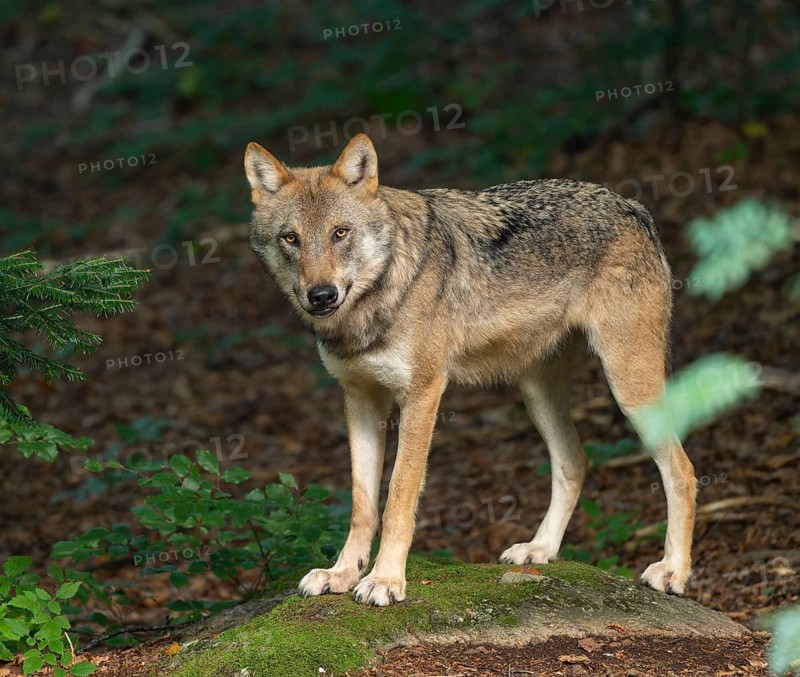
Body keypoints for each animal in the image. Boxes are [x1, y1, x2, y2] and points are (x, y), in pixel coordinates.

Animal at [244, 133, 696, 607]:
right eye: (291, 238)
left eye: (340, 233)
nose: (321, 295)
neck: (375, 301)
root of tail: (632, 205)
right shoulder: (360, 399)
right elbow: (362, 505)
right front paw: (342, 573)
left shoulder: (423, 394)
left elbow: (398, 499)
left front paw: (385, 580)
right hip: (537, 393)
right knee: (575, 461)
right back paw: (541, 549)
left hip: (630, 388)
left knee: (682, 470)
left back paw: (673, 572)